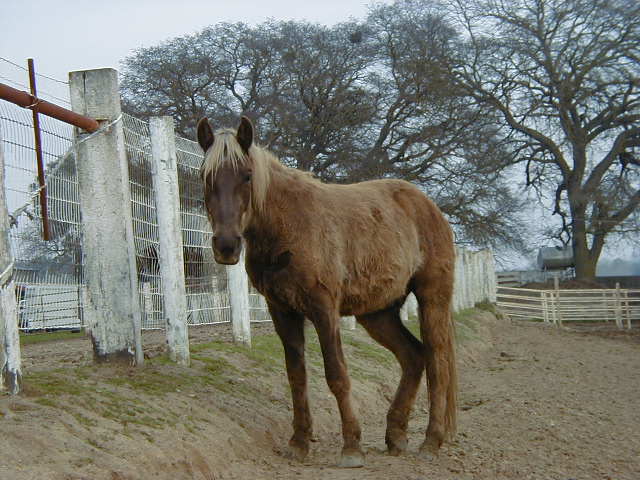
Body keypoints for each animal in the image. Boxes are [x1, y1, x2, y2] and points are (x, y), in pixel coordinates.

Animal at [198, 116, 458, 468]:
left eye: (247, 175)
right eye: (205, 176)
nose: (226, 246)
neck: (287, 226)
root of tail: (427, 206)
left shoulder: (323, 309)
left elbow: (337, 374)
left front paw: (351, 447)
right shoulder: (282, 311)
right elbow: (296, 377)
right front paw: (298, 443)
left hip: (433, 298)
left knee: (437, 361)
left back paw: (431, 440)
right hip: (378, 313)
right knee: (413, 356)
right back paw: (395, 435)